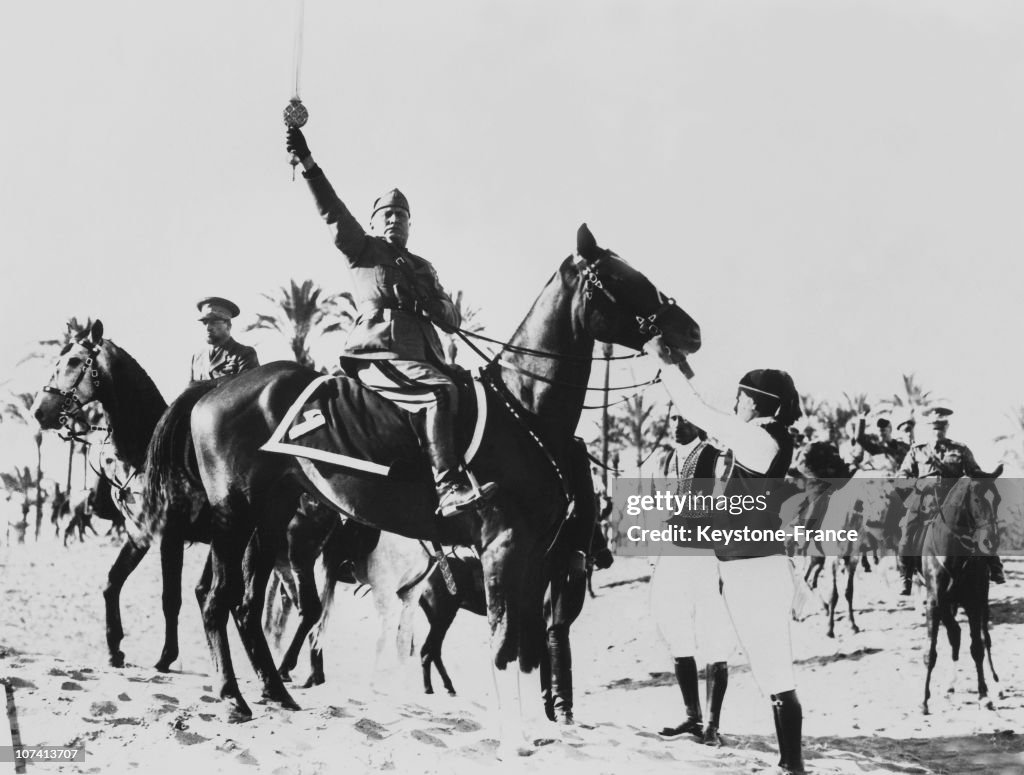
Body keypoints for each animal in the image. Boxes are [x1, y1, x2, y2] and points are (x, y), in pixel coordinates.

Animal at [180, 225, 700, 720]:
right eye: (619, 277)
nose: (690, 329)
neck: (522, 408)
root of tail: (217, 389)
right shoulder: (503, 547)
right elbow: (504, 645)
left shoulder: (534, 557)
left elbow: (528, 650)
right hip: (236, 519)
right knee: (217, 598)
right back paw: (233, 697)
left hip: (269, 520)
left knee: (246, 605)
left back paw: (275, 691)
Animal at [921, 475, 999, 716]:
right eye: (976, 499)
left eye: (998, 499)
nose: (991, 541)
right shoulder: (935, 603)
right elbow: (932, 651)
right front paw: (924, 701)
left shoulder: (973, 603)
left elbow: (977, 648)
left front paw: (984, 695)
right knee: (955, 634)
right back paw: (950, 686)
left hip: (983, 600)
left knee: (985, 639)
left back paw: (996, 683)